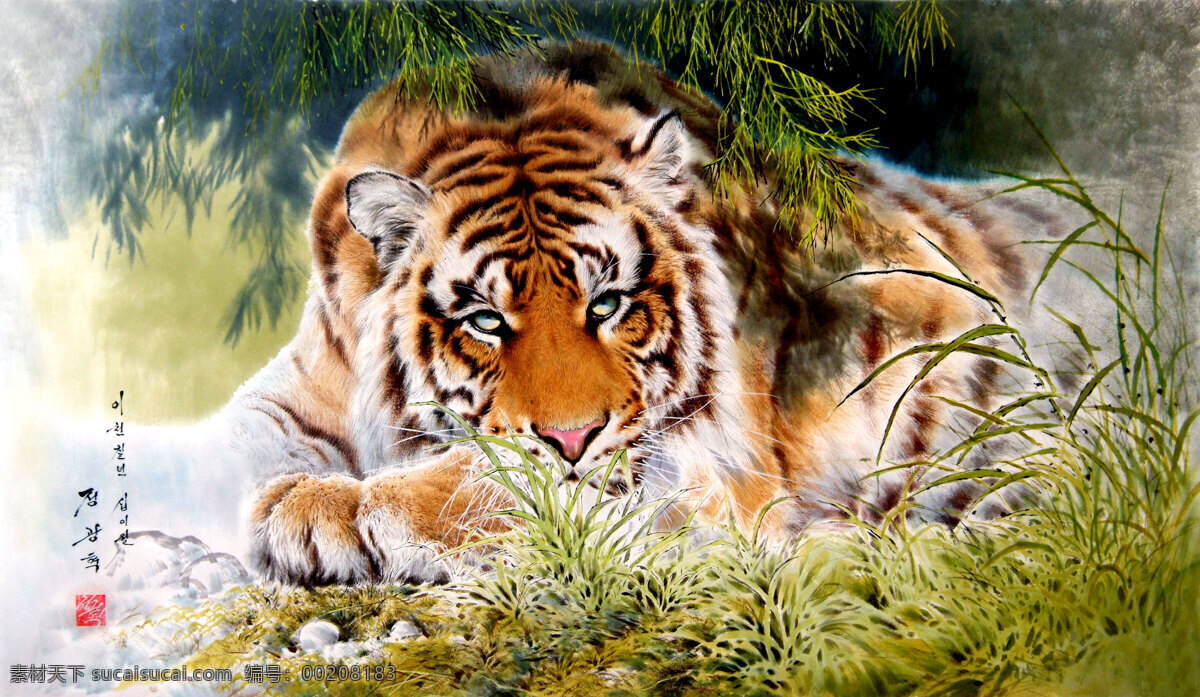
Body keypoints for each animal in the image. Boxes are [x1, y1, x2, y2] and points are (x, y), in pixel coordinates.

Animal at [227, 40, 1054, 587]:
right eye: (485, 320)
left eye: (609, 303)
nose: (572, 435)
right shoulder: (296, 387)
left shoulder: (702, 464)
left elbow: (497, 471)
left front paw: (321, 507)